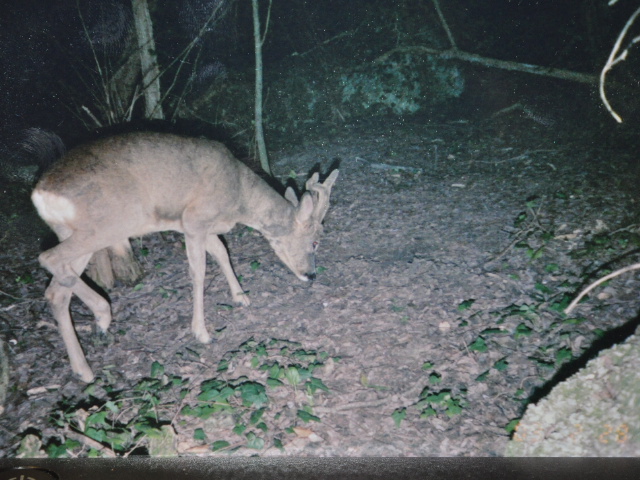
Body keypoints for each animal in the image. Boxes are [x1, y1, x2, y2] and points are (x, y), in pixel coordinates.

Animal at [31, 131, 340, 382]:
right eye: (315, 241)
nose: (311, 275)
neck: (239, 198)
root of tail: (39, 194)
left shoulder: (199, 225)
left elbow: (222, 252)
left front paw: (241, 297)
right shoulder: (195, 219)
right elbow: (199, 271)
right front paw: (201, 332)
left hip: (73, 232)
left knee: (56, 291)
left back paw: (84, 368)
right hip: (109, 225)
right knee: (48, 258)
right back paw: (102, 314)